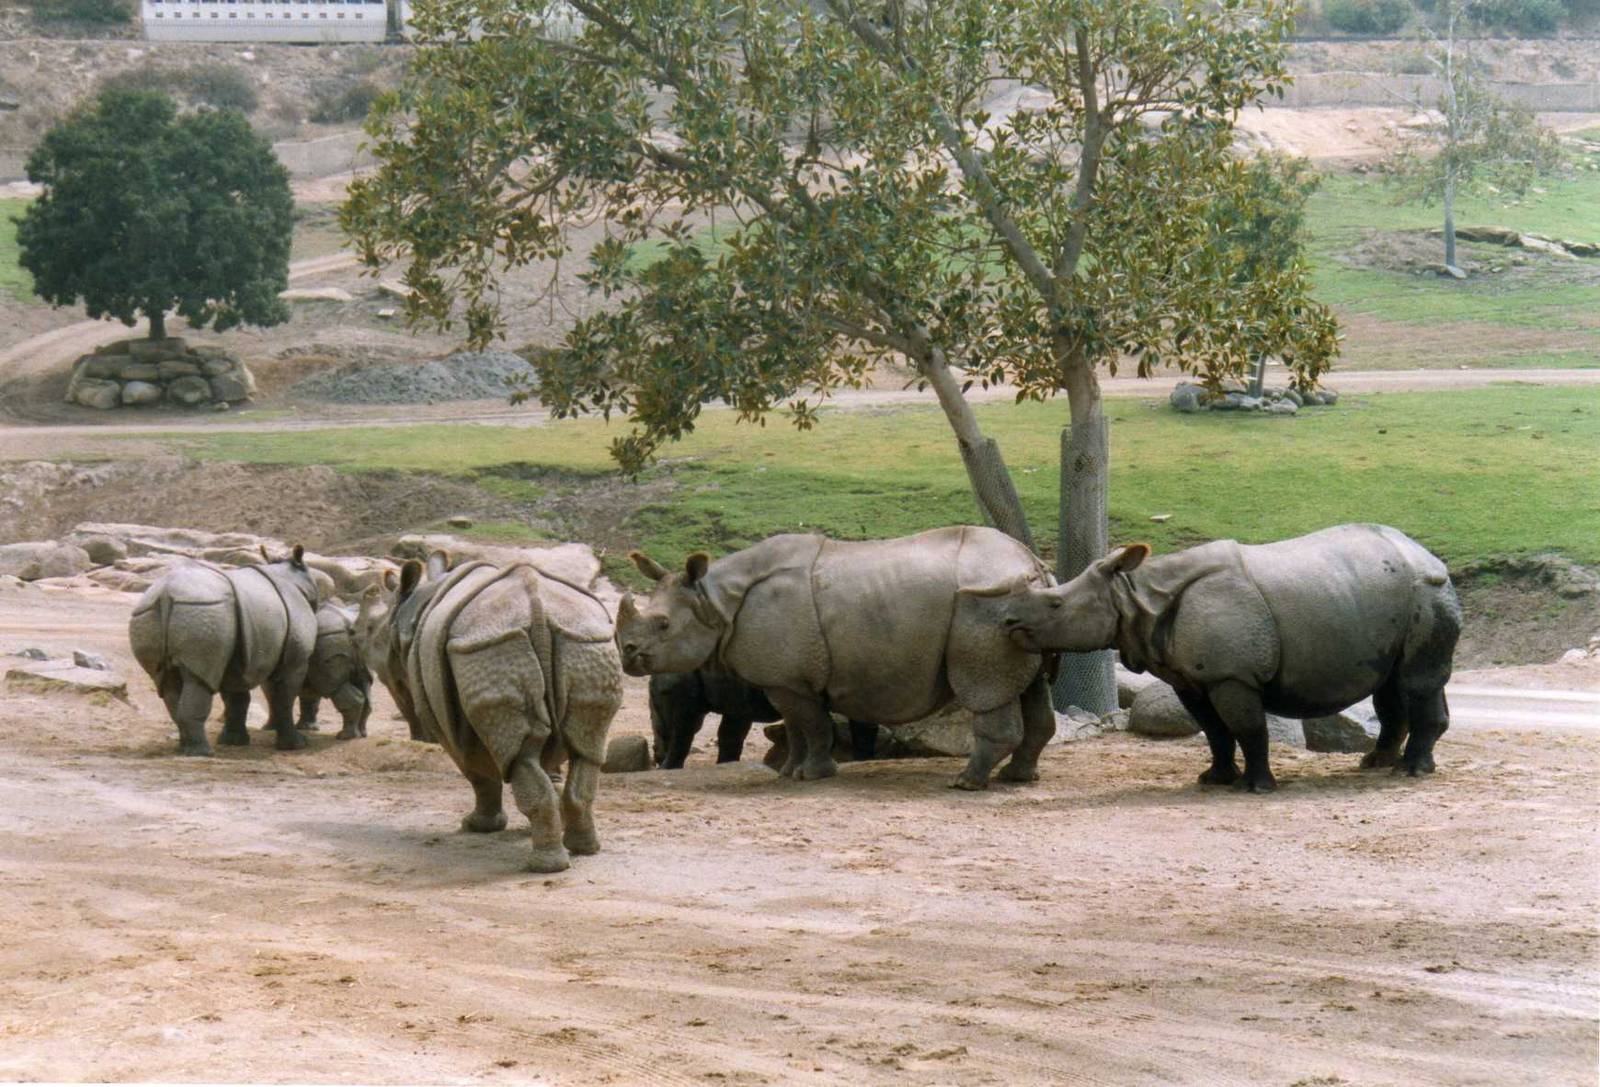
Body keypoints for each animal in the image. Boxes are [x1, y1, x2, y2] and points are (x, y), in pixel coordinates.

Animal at [128, 546, 325, 756]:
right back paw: (202, 753)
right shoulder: (295, 660)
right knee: (199, 679)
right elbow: (285, 698)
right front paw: (296, 745)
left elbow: (236, 697)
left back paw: (185, 748)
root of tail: (165, 594)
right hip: (205, 609)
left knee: (168, 682)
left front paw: (233, 742)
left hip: (153, 613)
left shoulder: (240, 651)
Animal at [292, 603, 373, 741]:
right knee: (365, 683)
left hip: (329, 639)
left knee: (335, 688)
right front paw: (306, 728)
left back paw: (344, 736)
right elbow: (309, 698)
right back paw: (362, 734)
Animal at [355, 554, 622, 873]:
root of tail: (538, 609)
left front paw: (478, 826)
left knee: (518, 753)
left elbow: (476, 771)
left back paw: (544, 866)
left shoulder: (447, 723)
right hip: (584, 641)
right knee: (588, 746)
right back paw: (583, 849)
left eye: (382, 639)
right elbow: (546, 763)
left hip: (489, 648)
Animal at [988, 524, 1462, 792]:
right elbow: (1214, 730)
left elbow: (1248, 727)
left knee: (1416, 680)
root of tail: (1427, 555)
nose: (1009, 622)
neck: (1134, 596)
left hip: (1427, 592)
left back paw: (1411, 772)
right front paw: (1213, 779)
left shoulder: (1232, 676)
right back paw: (1376, 764)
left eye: (1055, 605)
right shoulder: (1191, 679)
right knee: (1393, 683)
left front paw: (1258, 787)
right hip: (1392, 598)